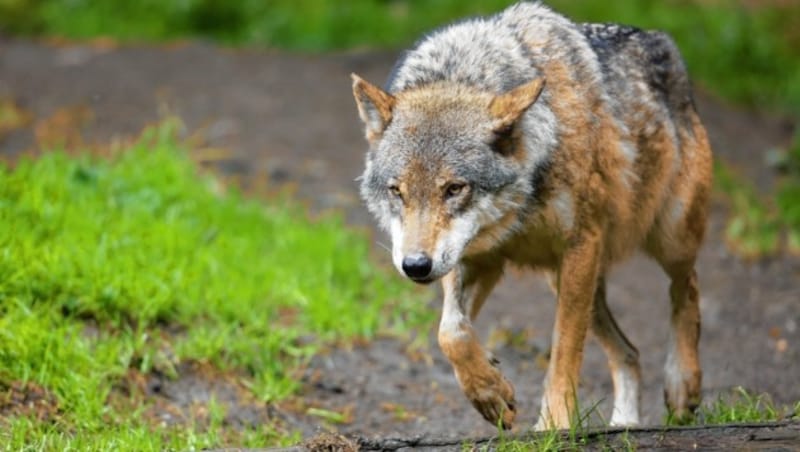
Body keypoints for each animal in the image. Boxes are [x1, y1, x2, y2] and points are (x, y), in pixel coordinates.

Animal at [350, 0, 712, 430]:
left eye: (454, 189)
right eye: (397, 191)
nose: (415, 266)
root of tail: (663, 42)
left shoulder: (580, 245)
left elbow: (563, 350)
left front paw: (554, 425)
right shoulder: (477, 260)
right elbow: (451, 333)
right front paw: (490, 393)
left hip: (667, 238)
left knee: (686, 288)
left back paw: (682, 384)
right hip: (574, 281)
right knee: (630, 353)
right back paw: (625, 424)